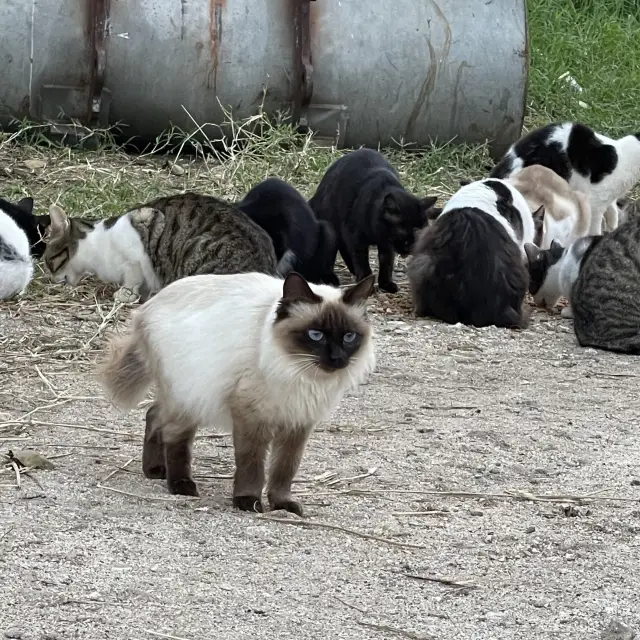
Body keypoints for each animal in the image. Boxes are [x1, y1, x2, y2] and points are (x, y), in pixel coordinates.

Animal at [99, 270, 376, 516]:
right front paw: (248, 502)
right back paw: (181, 485)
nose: (337, 359)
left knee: (154, 414)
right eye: (316, 335)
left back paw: (155, 471)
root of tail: (146, 306)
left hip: (185, 396)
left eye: (349, 336)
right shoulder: (251, 415)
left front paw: (282, 504)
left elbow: (284, 469)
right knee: (175, 438)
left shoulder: (298, 422)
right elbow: (251, 465)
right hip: (187, 395)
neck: (299, 373)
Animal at [308, 149, 438, 294]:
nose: (411, 249)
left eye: (421, 232)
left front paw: (386, 284)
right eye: (407, 234)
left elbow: (387, 263)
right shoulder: (354, 236)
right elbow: (361, 260)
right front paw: (366, 282)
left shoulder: (387, 245)